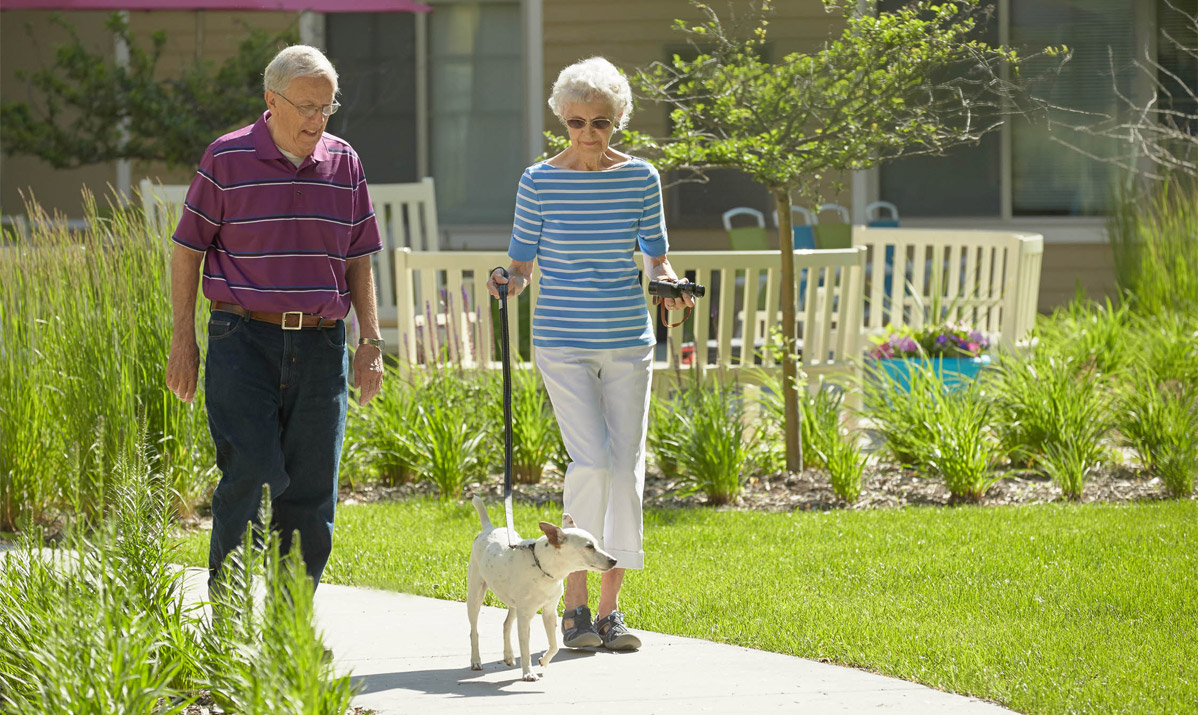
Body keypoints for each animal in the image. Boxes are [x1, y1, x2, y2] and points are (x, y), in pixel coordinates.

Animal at [468, 494, 619, 676]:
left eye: (596, 544)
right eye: (589, 546)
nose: (614, 560)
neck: (543, 569)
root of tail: (488, 528)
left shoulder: (549, 612)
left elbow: (554, 645)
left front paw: (544, 661)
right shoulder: (525, 616)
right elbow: (525, 648)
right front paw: (528, 673)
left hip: (514, 604)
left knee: (506, 625)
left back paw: (509, 656)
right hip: (475, 595)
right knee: (474, 630)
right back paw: (476, 660)